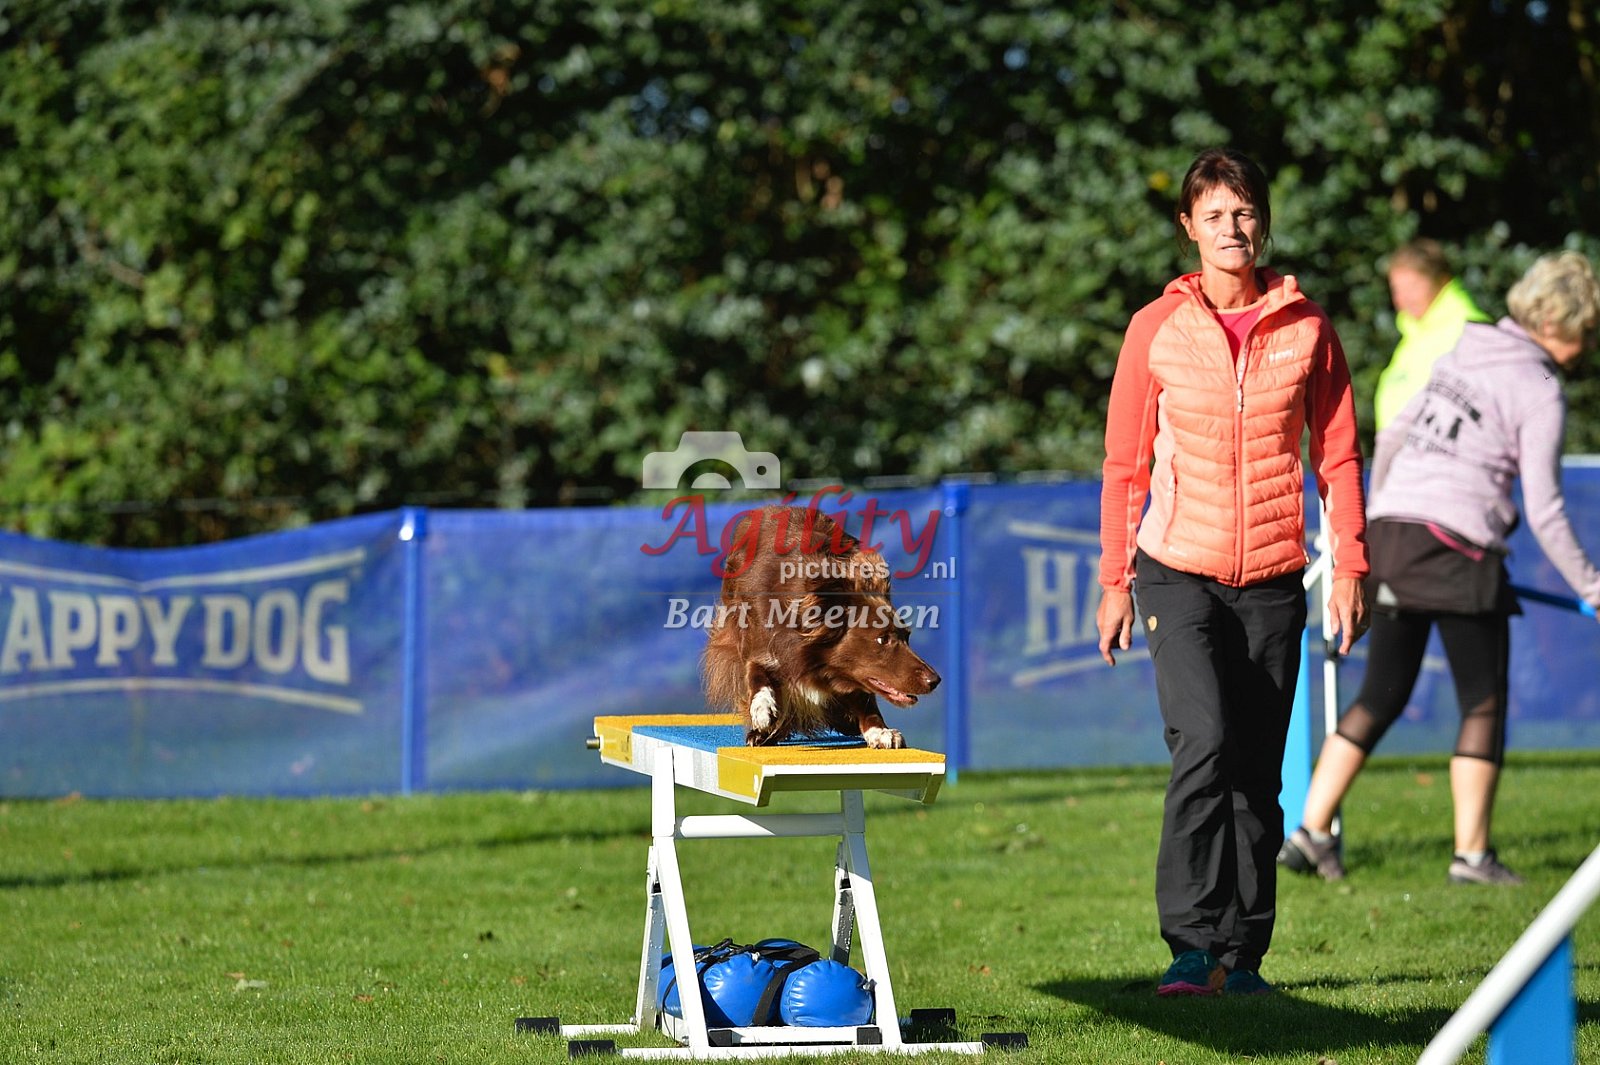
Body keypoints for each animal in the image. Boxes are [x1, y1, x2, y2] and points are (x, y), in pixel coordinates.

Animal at [702, 505, 940, 749]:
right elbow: (756, 674)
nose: (935, 681)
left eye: (907, 636)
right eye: (882, 639)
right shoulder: (758, 645)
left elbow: (863, 696)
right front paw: (763, 709)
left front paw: (879, 731)